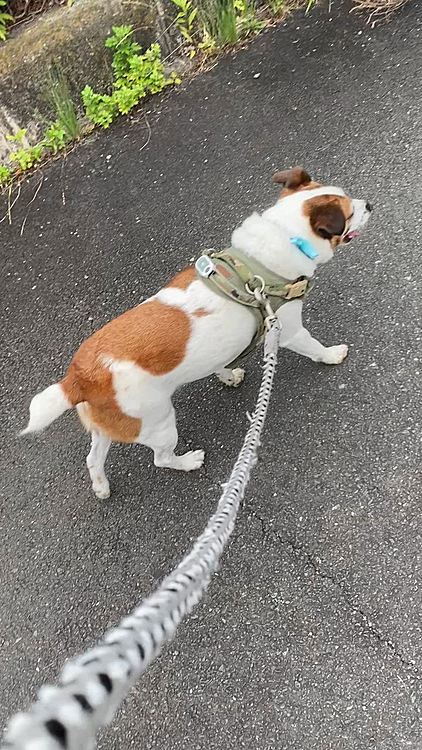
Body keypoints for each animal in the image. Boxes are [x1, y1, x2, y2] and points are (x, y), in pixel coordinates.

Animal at [21, 170, 370, 500]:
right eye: (350, 213)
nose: (369, 205)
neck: (279, 237)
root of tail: (80, 378)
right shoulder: (289, 330)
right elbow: (313, 346)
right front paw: (332, 355)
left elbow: (221, 362)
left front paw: (228, 375)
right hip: (159, 423)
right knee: (160, 458)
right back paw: (187, 461)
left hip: (111, 425)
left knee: (93, 459)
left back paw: (101, 486)